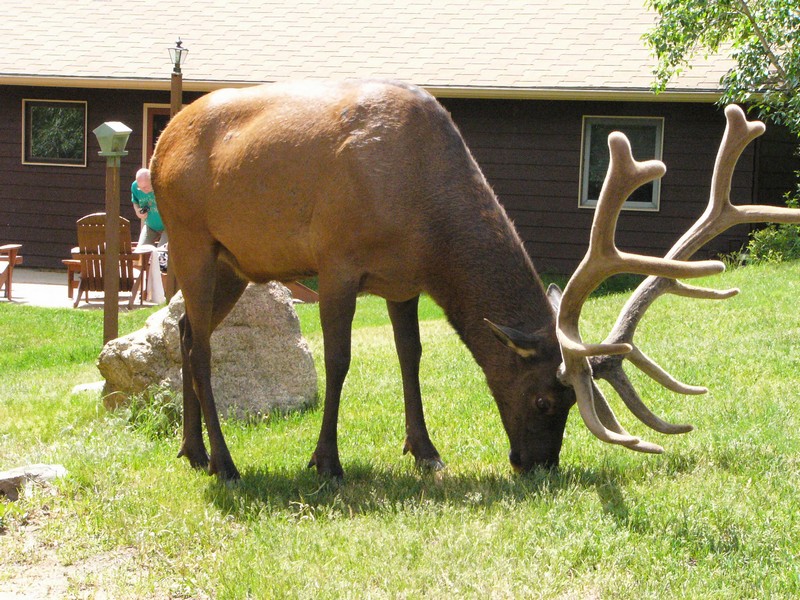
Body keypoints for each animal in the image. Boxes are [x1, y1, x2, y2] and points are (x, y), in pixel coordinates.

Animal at [150, 79, 800, 481]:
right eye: (545, 398)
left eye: (573, 403)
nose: (538, 464)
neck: (426, 220)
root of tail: (159, 145)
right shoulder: (337, 259)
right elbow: (339, 360)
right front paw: (327, 462)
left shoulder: (402, 279)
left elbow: (411, 356)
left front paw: (425, 452)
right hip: (190, 238)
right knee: (202, 348)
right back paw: (225, 464)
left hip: (234, 263)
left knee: (184, 331)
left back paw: (191, 450)